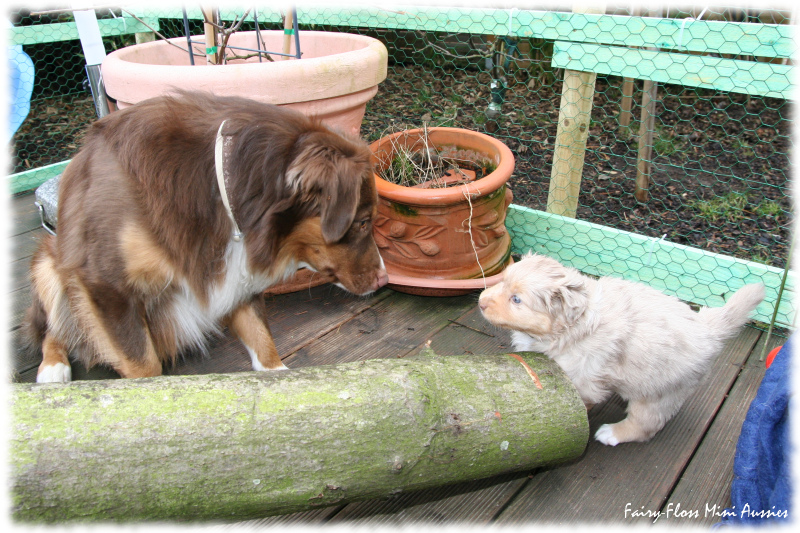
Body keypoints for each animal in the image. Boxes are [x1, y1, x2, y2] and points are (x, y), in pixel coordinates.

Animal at [478, 254, 764, 444]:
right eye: (502, 282)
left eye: (516, 300)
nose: (480, 302)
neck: (574, 323)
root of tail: (708, 328)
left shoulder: (583, 379)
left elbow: (582, 401)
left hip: (659, 392)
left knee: (647, 424)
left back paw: (612, 434)